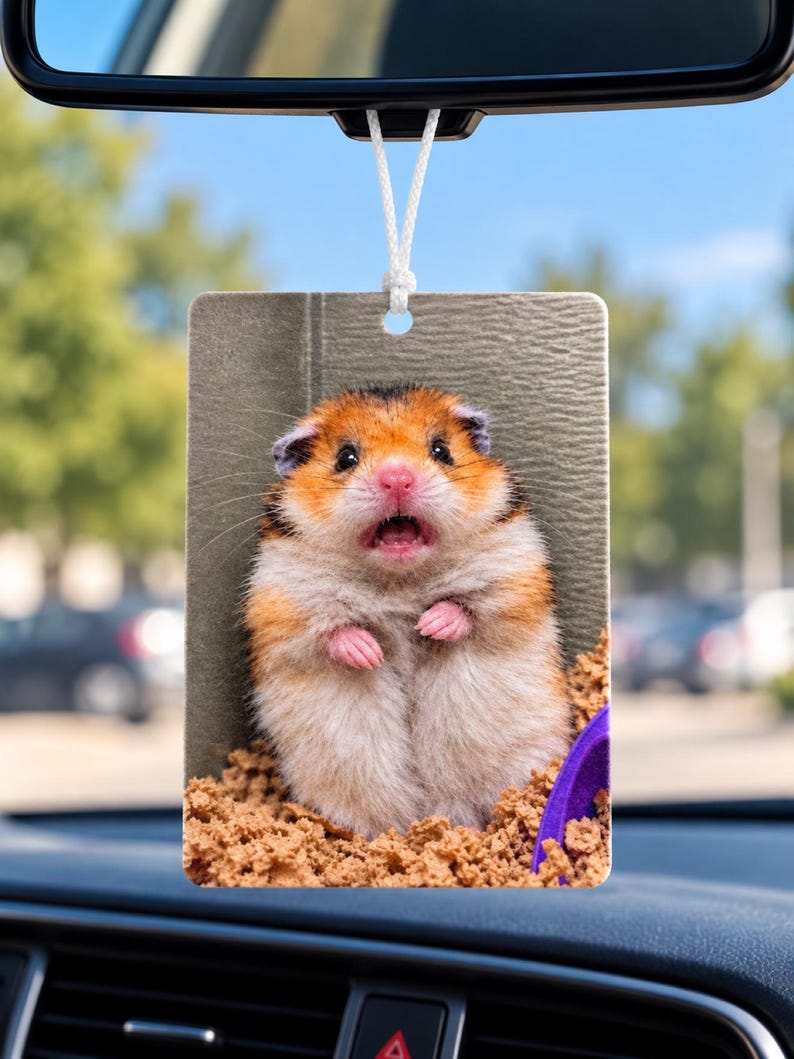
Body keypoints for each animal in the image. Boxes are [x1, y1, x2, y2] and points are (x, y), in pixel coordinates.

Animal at [244, 384, 571, 839]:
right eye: (345, 457)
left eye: (441, 450)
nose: (398, 477)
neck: (398, 579)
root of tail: (428, 816)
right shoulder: (282, 604)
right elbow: (333, 633)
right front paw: (371, 653)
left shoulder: (515, 578)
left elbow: (466, 608)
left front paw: (428, 625)